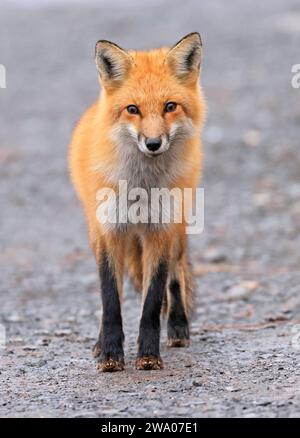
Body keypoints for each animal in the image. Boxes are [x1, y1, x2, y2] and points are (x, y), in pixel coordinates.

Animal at [69, 32, 205, 372]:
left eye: (170, 106)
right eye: (133, 109)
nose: (153, 143)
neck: (141, 187)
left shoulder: (160, 230)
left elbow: (153, 301)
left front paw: (148, 355)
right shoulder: (109, 230)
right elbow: (110, 300)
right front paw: (110, 355)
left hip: (178, 230)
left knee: (176, 277)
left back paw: (178, 327)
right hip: (96, 233)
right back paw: (99, 343)